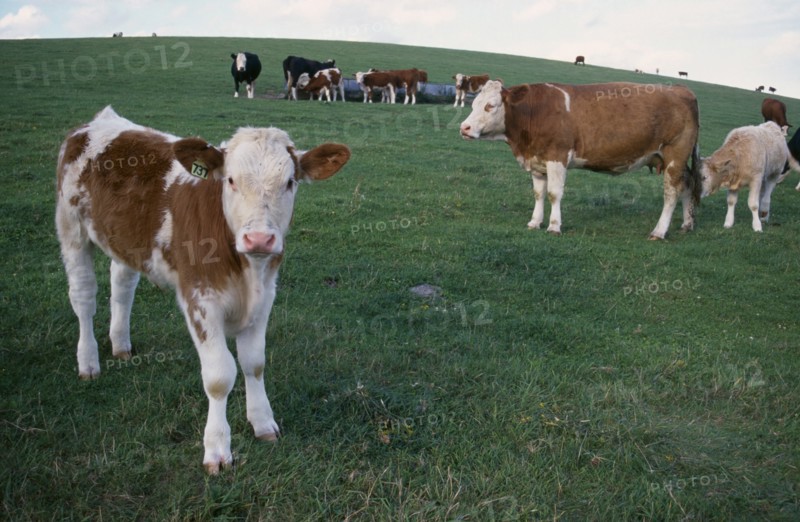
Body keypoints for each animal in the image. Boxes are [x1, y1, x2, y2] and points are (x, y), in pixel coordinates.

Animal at [56, 106, 351, 473]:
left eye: (290, 182)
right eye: (231, 180)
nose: (259, 239)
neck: (245, 270)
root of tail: (98, 120)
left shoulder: (265, 296)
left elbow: (254, 362)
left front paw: (263, 423)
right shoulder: (200, 300)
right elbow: (220, 375)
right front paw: (217, 449)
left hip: (126, 241)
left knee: (122, 284)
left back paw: (120, 344)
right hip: (71, 230)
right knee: (83, 297)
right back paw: (88, 361)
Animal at [459, 80, 701, 239]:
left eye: (490, 105)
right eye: (473, 104)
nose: (464, 128)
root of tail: (681, 89)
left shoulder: (557, 156)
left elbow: (553, 194)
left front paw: (554, 226)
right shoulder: (537, 161)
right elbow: (538, 194)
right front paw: (535, 222)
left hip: (675, 154)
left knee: (671, 193)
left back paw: (659, 231)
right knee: (688, 185)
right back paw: (687, 224)